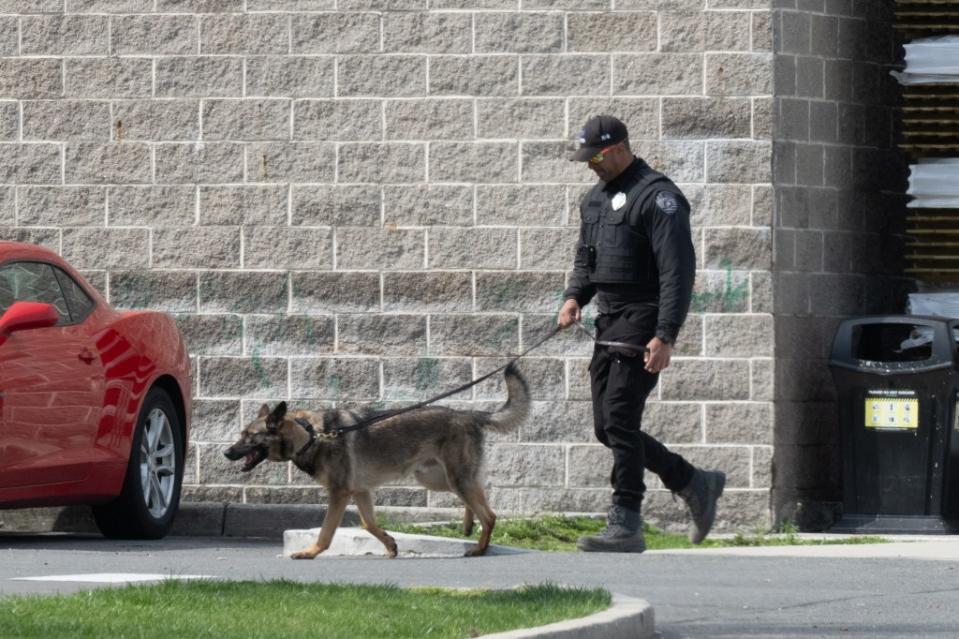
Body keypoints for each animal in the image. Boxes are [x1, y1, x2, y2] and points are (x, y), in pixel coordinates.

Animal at [222, 364, 528, 560]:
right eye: (241, 434)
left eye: (249, 437)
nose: (226, 452)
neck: (310, 435)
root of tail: (470, 414)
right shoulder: (360, 491)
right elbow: (368, 524)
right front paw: (391, 544)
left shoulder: (340, 493)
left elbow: (326, 531)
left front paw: (310, 553)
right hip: (439, 479)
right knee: (478, 499)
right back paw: (468, 525)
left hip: (454, 479)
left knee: (489, 514)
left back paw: (479, 549)